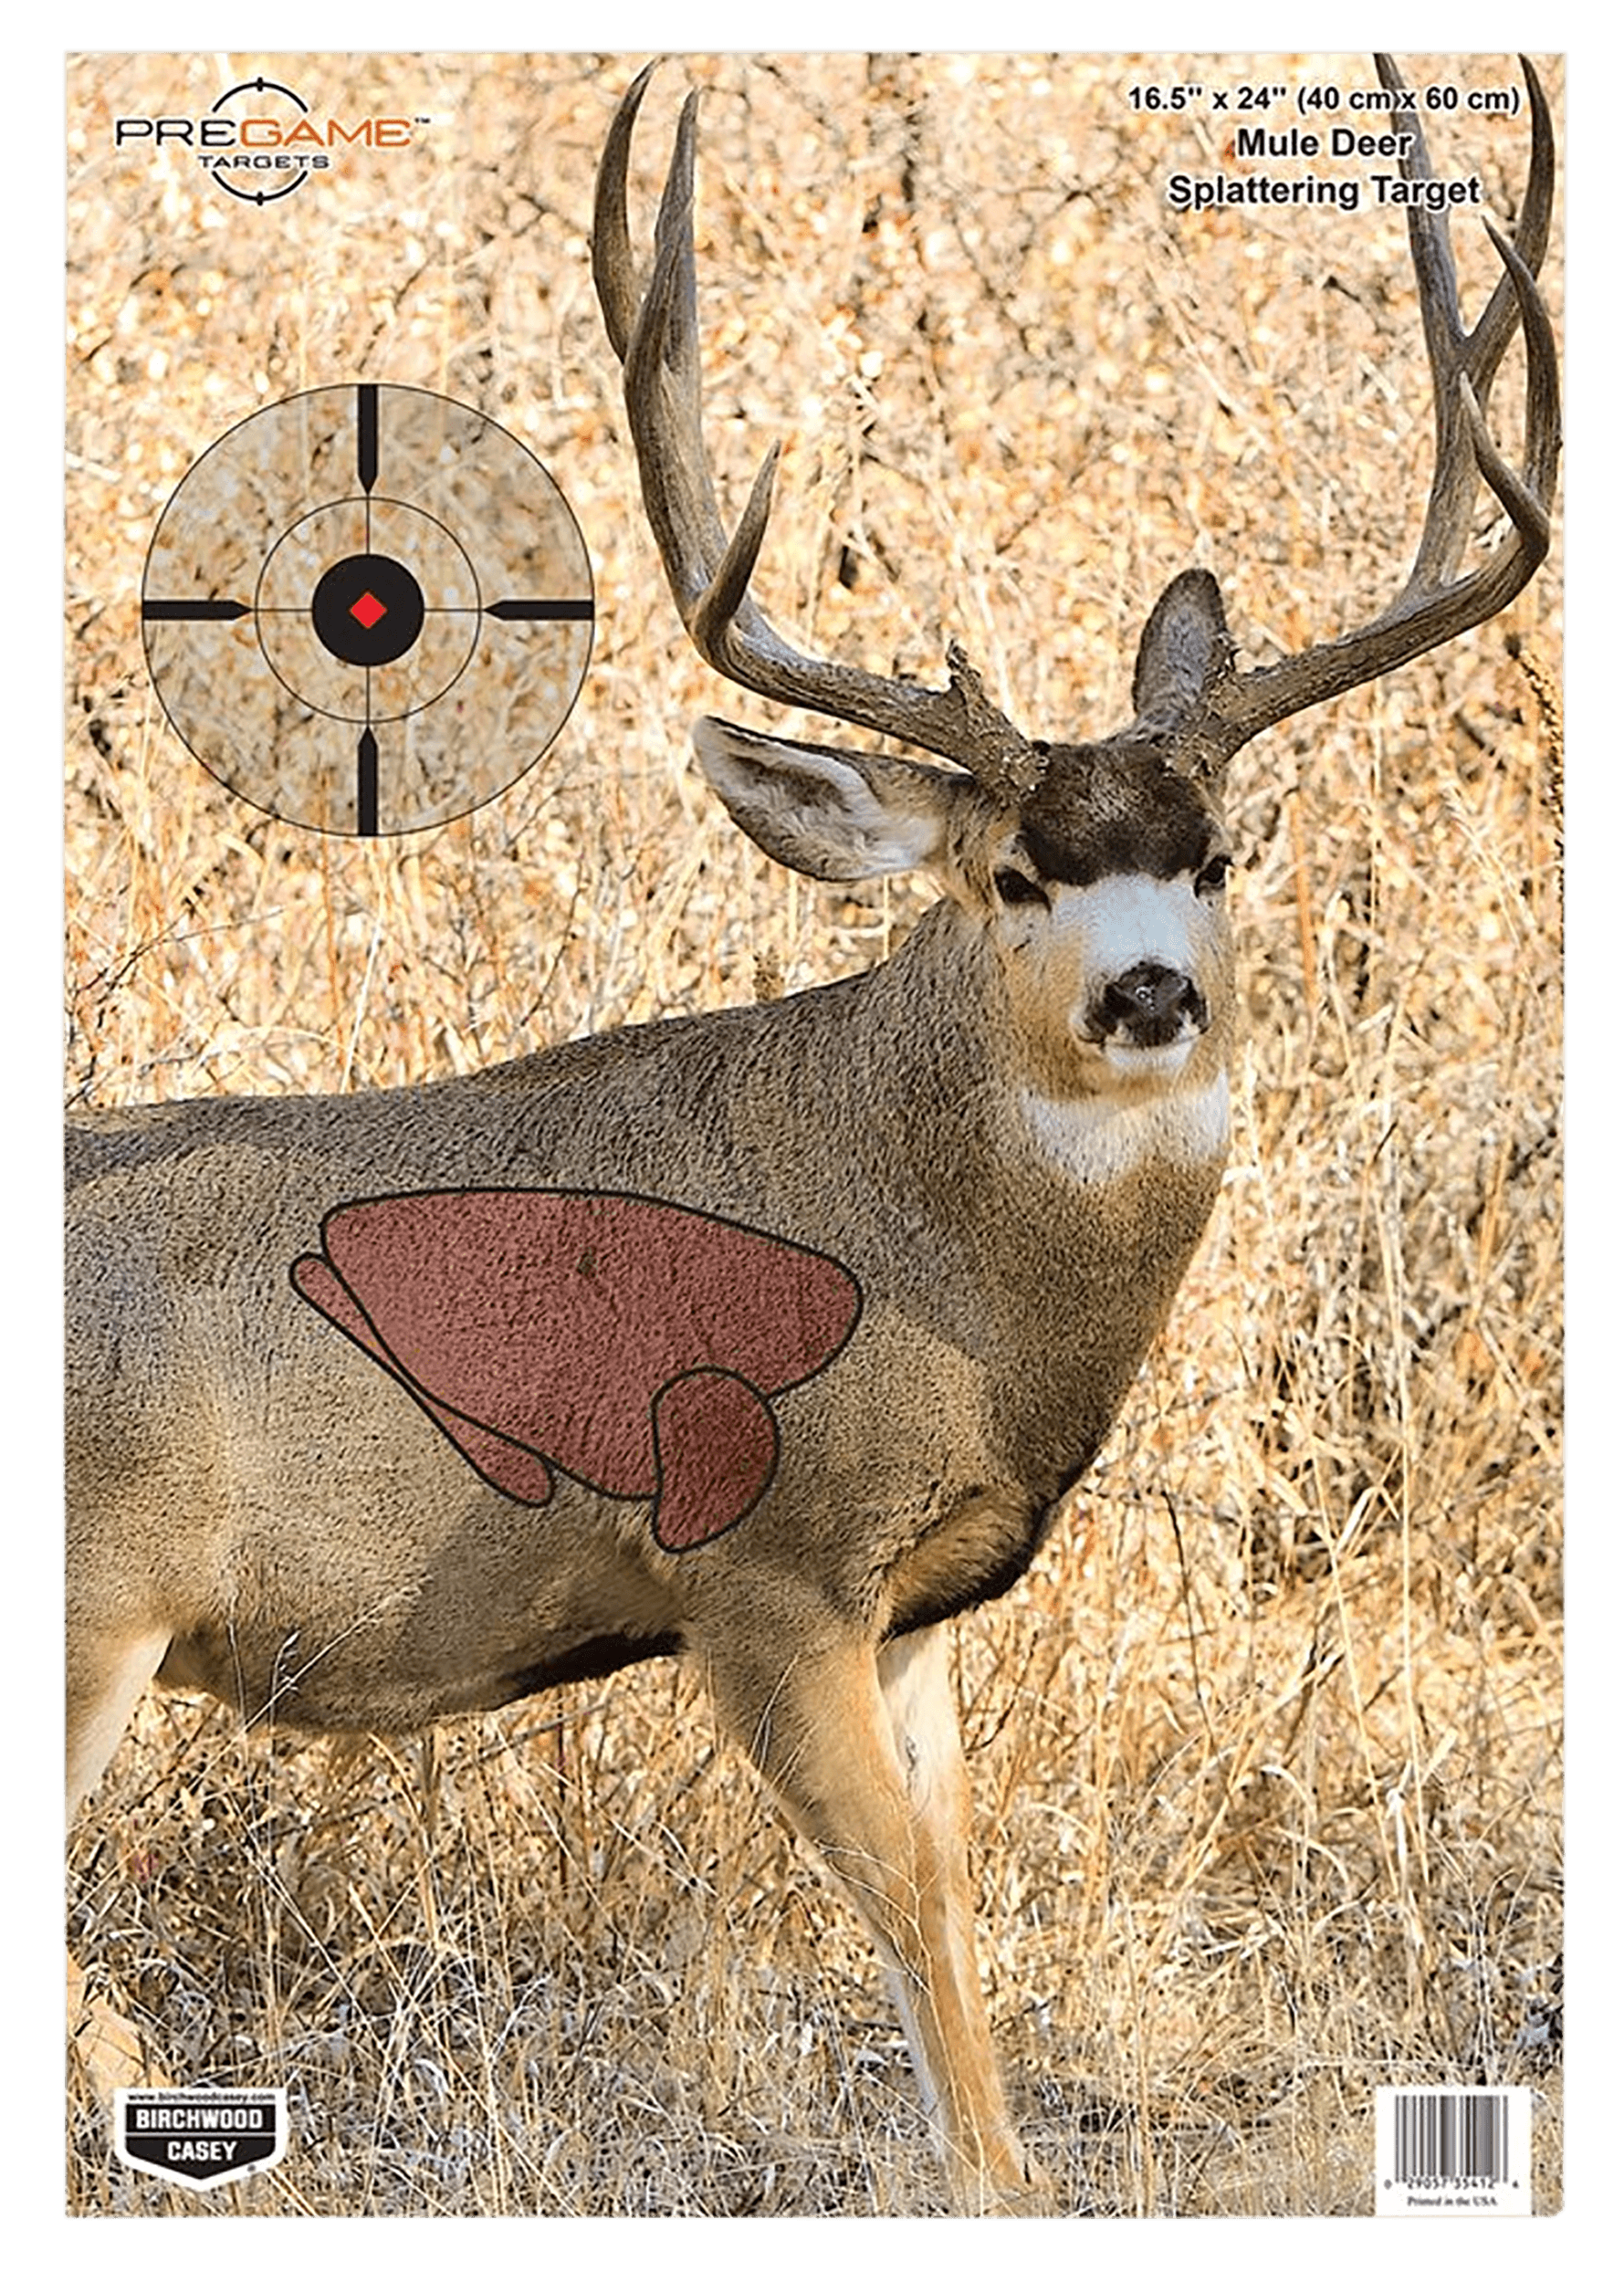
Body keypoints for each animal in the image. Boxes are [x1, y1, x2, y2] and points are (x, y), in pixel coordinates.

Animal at [65, 53, 1558, 2213]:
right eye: (1014, 874)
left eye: (1210, 855)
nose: (1148, 994)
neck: (940, 1276)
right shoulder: (758, 1573)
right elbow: (903, 1917)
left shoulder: (919, 1607)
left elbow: (955, 1904)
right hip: (95, 1605)